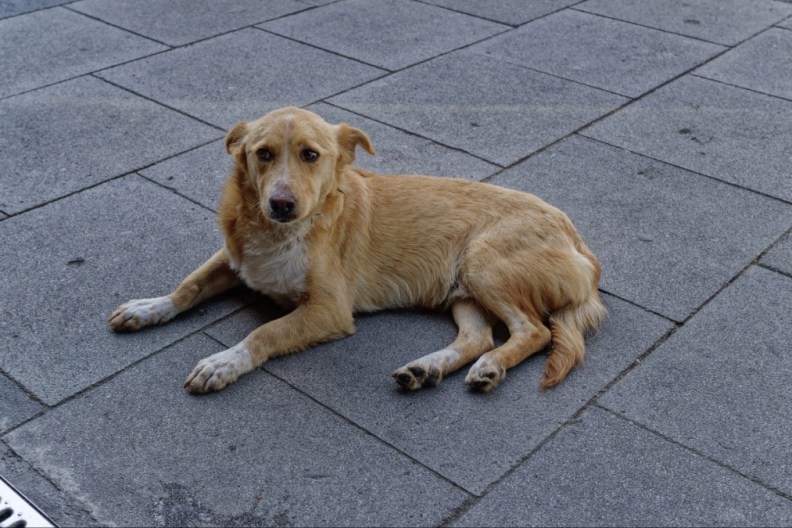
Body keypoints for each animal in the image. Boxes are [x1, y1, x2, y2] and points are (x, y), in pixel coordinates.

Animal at [110, 107, 608, 394]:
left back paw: (489, 367)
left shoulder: (328, 310)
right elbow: (188, 286)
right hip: (463, 290)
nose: (281, 204)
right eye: (263, 153)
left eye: (310, 155)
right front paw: (148, 307)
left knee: (533, 332)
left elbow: (263, 333)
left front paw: (224, 362)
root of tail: (582, 245)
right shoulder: (235, 258)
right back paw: (426, 369)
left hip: (484, 264)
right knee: (477, 337)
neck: (279, 232)